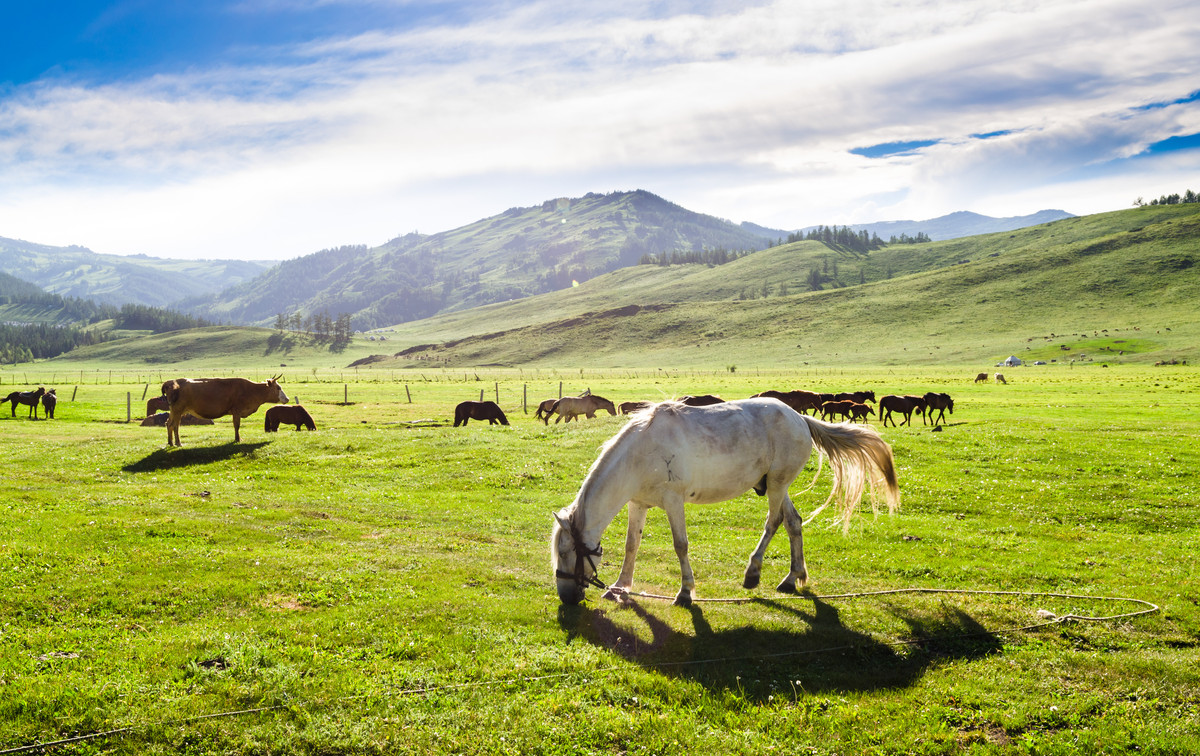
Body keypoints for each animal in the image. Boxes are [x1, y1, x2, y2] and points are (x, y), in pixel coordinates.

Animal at [160, 376, 289, 446]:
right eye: (278, 388)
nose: (287, 399)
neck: (252, 390)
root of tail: (171, 382)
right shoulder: (236, 410)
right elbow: (236, 425)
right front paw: (238, 439)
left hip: (174, 411)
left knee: (169, 424)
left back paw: (170, 442)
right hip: (178, 410)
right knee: (175, 425)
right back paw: (178, 443)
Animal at [552, 400, 902, 607]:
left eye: (567, 553)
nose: (565, 597)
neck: (640, 454)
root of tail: (800, 418)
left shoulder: (673, 501)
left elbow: (681, 545)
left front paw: (685, 592)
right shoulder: (638, 503)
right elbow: (631, 545)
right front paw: (620, 587)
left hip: (776, 486)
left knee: (773, 522)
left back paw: (753, 573)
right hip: (777, 484)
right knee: (794, 522)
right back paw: (792, 578)